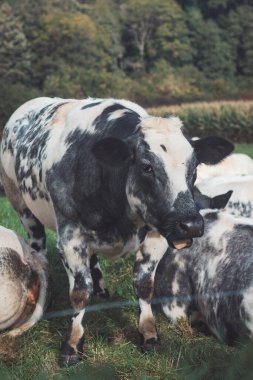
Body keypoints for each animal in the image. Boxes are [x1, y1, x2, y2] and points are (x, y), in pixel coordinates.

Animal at [0, 95, 233, 366]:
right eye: (147, 167)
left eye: (194, 168)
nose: (191, 224)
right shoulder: (70, 238)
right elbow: (80, 292)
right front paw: (72, 345)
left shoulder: (156, 234)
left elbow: (144, 285)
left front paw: (149, 335)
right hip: (21, 204)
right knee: (37, 243)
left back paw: (101, 288)